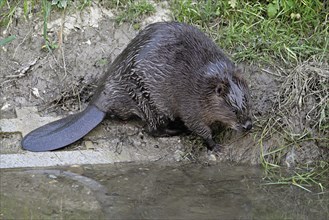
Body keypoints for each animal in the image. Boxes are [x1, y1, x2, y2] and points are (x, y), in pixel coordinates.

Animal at [21, 22, 252, 152]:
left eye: (247, 102)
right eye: (233, 109)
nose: (249, 126)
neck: (208, 79)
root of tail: (98, 103)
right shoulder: (191, 102)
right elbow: (198, 127)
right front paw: (215, 145)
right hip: (146, 99)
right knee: (152, 129)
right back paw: (175, 130)